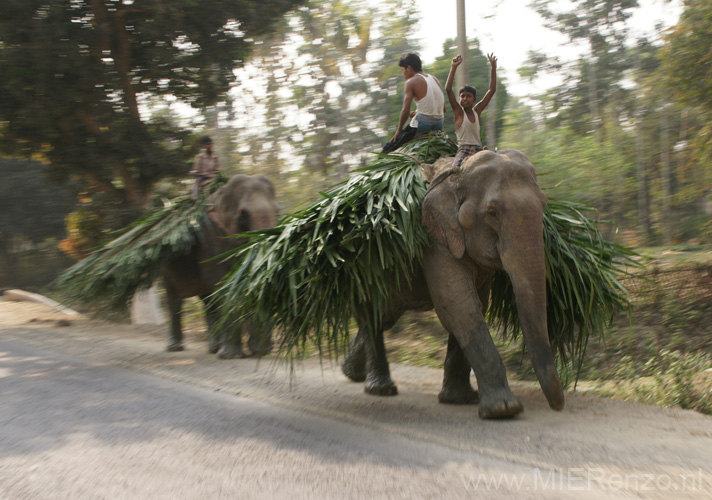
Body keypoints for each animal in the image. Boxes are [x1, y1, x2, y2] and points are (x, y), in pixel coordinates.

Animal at [164, 174, 278, 358]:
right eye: (242, 216)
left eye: (277, 211)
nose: (266, 349)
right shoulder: (209, 237)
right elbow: (223, 283)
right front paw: (231, 355)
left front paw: (255, 351)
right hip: (166, 266)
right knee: (175, 298)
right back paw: (175, 347)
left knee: (208, 300)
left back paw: (214, 347)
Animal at [342, 150, 564, 420]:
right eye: (492, 213)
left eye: (544, 204)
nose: (558, 407)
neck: (457, 173)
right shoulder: (433, 237)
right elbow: (458, 305)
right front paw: (503, 410)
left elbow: (475, 304)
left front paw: (460, 400)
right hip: (362, 269)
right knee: (372, 316)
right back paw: (380, 389)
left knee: (383, 318)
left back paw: (350, 372)